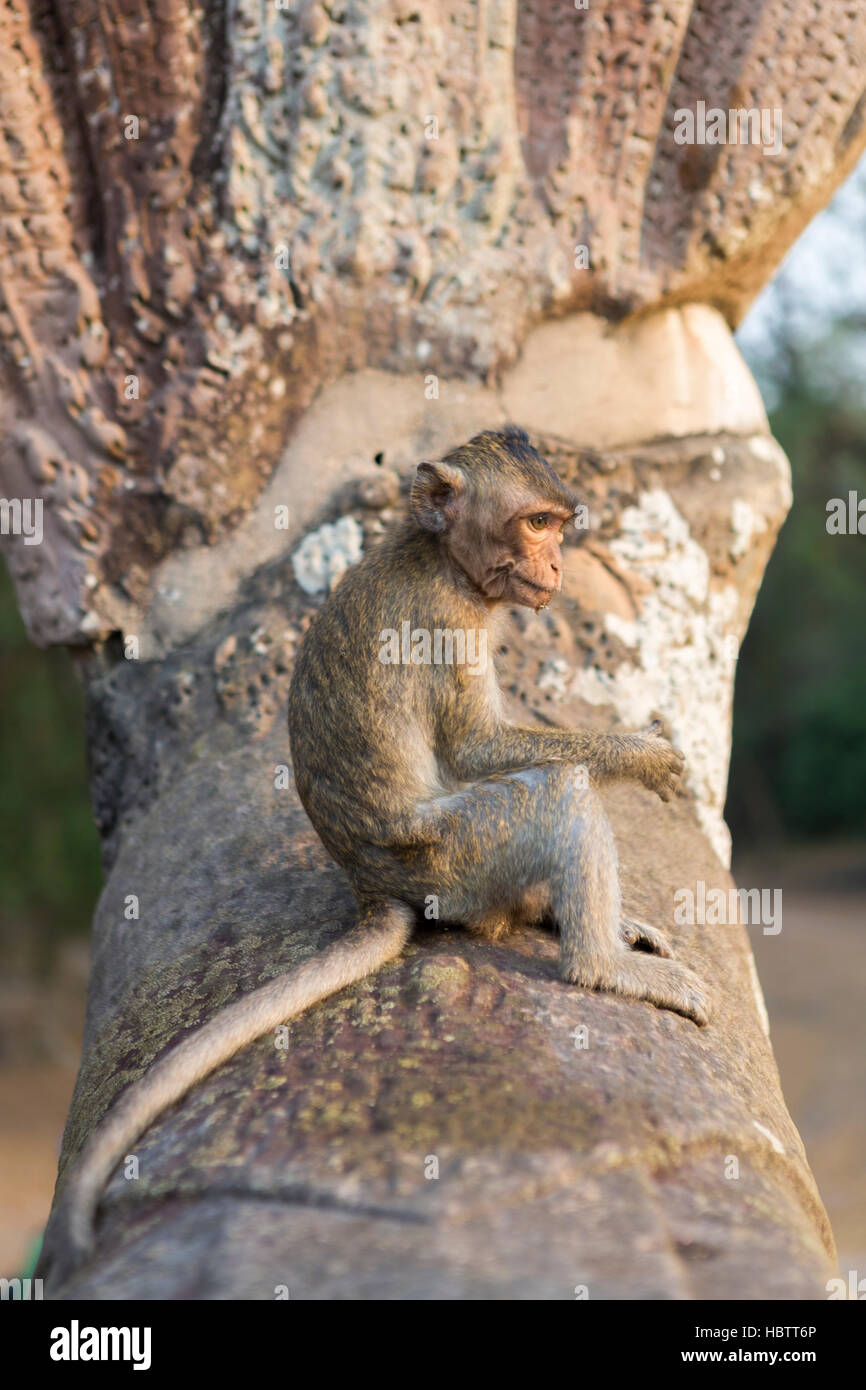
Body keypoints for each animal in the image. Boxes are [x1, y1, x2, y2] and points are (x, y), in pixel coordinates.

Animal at [37, 422, 708, 1278]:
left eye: (558, 524)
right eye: (534, 524)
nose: (557, 566)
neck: (438, 554)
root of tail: (371, 885)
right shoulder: (445, 618)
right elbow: (479, 746)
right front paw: (643, 753)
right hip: (450, 861)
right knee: (556, 792)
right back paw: (599, 962)